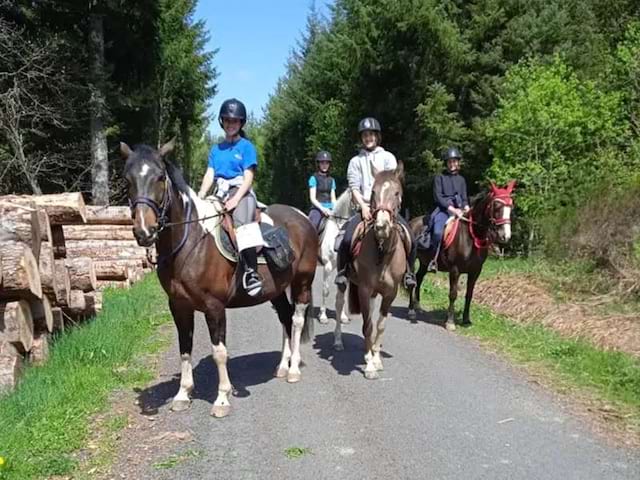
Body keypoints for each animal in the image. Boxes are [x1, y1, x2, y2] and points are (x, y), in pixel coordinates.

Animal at [120, 140, 318, 416]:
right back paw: (282, 366)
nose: (144, 231)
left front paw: (222, 399)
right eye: (127, 179)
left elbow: (219, 352)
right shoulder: (178, 306)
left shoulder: (214, 307)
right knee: (286, 318)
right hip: (277, 290)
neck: (191, 242)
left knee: (297, 320)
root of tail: (302, 217)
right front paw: (182, 394)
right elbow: (185, 348)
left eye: (160, 177)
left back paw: (294, 369)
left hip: (302, 282)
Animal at [332, 165, 408, 378]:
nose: (381, 226)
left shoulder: (390, 293)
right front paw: (370, 366)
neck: (382, 251)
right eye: (373, 192)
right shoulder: (364, 290)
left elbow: (379, 325)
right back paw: (339, 342)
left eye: (396, 193)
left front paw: (376, 358)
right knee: (339, 306)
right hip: (344, 283)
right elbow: (367, 325)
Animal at [410, 181, 516, 330]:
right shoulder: (455, 270)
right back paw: (411, 311)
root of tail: (411, 222)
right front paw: (450, 322)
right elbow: (453, 294)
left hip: (425, 263)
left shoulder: (475, 271)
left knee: (419, 278)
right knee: (412, 281)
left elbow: (469, 295)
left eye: (511, 207)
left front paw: (466, 320)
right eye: (496, 206)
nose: (504, 236)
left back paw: (418, 306)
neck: (470, 236)